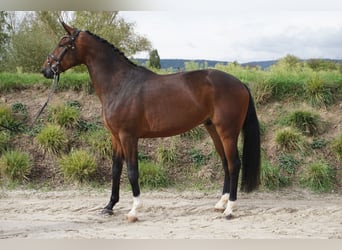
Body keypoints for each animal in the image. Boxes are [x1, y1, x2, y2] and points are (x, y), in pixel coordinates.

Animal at [41, 22, 260, 221]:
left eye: (62, 44)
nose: (46, 70)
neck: (120, 84)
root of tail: (240, 83)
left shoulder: (128, 137)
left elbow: (132, 171)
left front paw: (134, 210)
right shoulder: (115, 137)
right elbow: (115, 170)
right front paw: (109, 206)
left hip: (228, 132)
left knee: (234, 164)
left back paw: (230, 209)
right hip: (213, 130)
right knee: (225, 163)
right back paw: (221, 203)